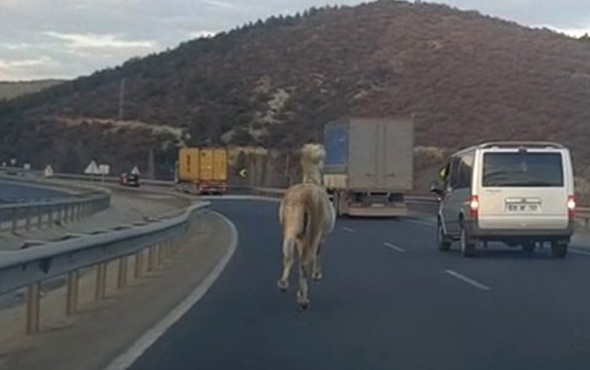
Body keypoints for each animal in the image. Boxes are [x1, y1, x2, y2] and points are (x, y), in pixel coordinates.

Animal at [278, 144, 336, 310]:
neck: (312, 180)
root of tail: (300, 199)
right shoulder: (320, 236)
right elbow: (316, 254)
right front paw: (317, 275)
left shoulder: (300, 237)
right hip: (313, 232)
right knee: (305, 262)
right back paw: (303, 301)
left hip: (290, 229)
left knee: (288, 255)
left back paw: (283, 284)